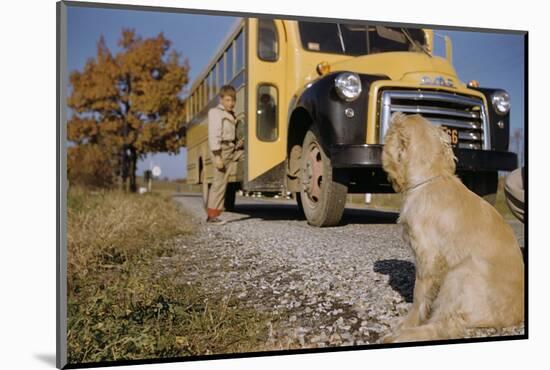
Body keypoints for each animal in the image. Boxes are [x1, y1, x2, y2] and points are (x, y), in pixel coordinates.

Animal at [382, 112, 524, 344]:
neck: (430, 178)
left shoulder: (428, 256)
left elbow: (419, 294)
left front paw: (408, 322)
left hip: (460, 274)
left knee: (446, 327)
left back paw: (400, 336)